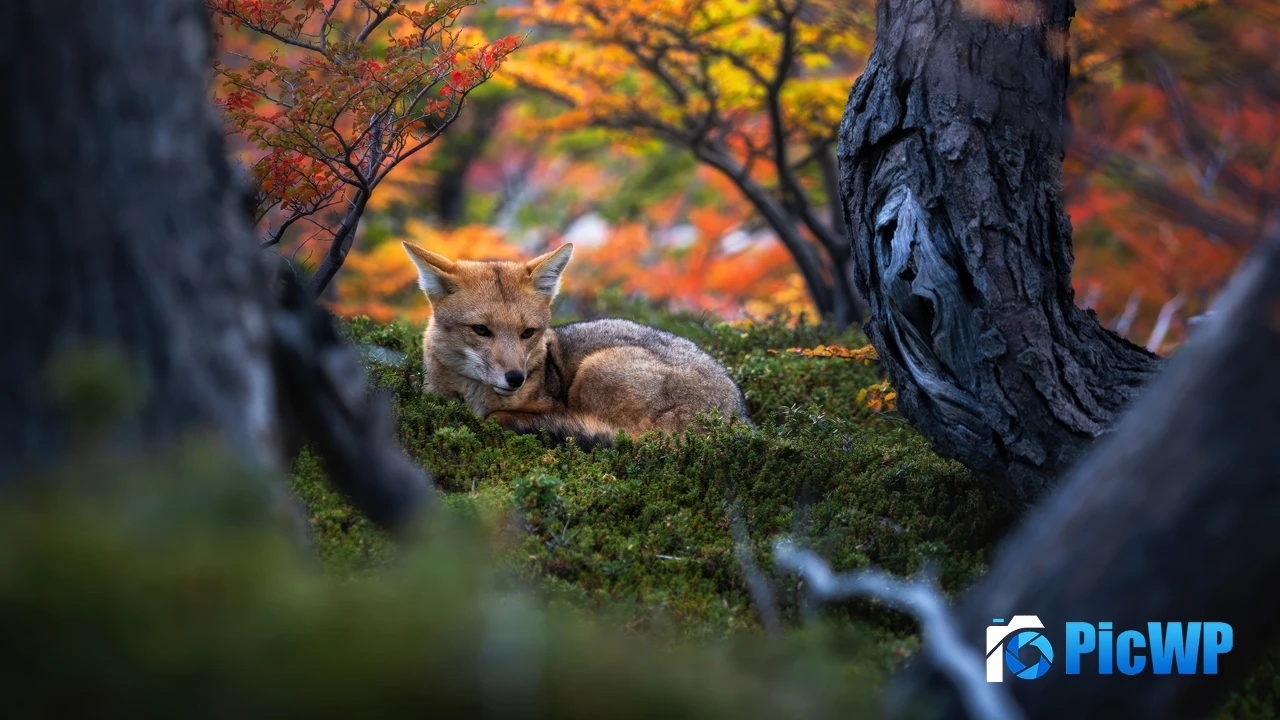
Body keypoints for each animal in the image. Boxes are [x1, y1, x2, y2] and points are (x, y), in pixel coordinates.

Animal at [401, 241, 751, 448]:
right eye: (480, 330)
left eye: (528, 332)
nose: (515, 378)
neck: (474, 399)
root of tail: (740, 416)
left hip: (594, 370)